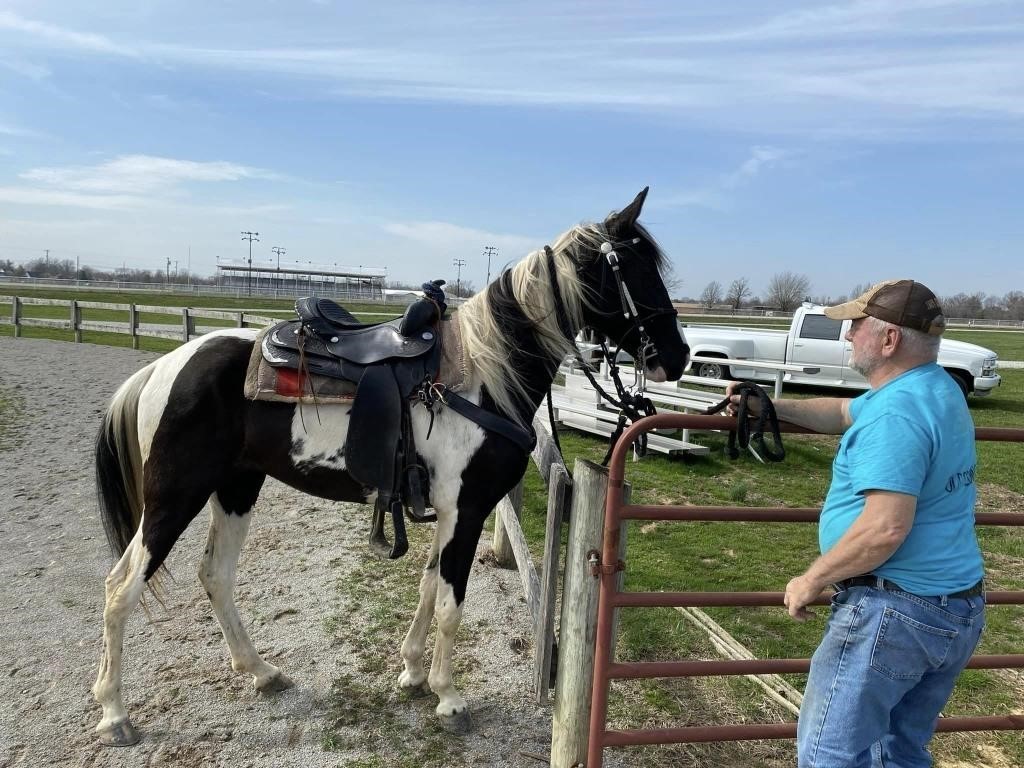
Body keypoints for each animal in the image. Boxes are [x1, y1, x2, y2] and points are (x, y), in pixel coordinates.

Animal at [92, 188, 692, 745]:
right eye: (635, 268)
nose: (679, 355)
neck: (482, 377)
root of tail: (163, 367)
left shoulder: (450, 514)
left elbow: (429, 588)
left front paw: (413, 675)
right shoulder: (467, 511)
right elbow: (450, 605)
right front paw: (450, 698)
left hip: (237, 487)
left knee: (215, 575)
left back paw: (262, 673)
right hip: (174, 497)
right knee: (121, 588)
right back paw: (115, 714)